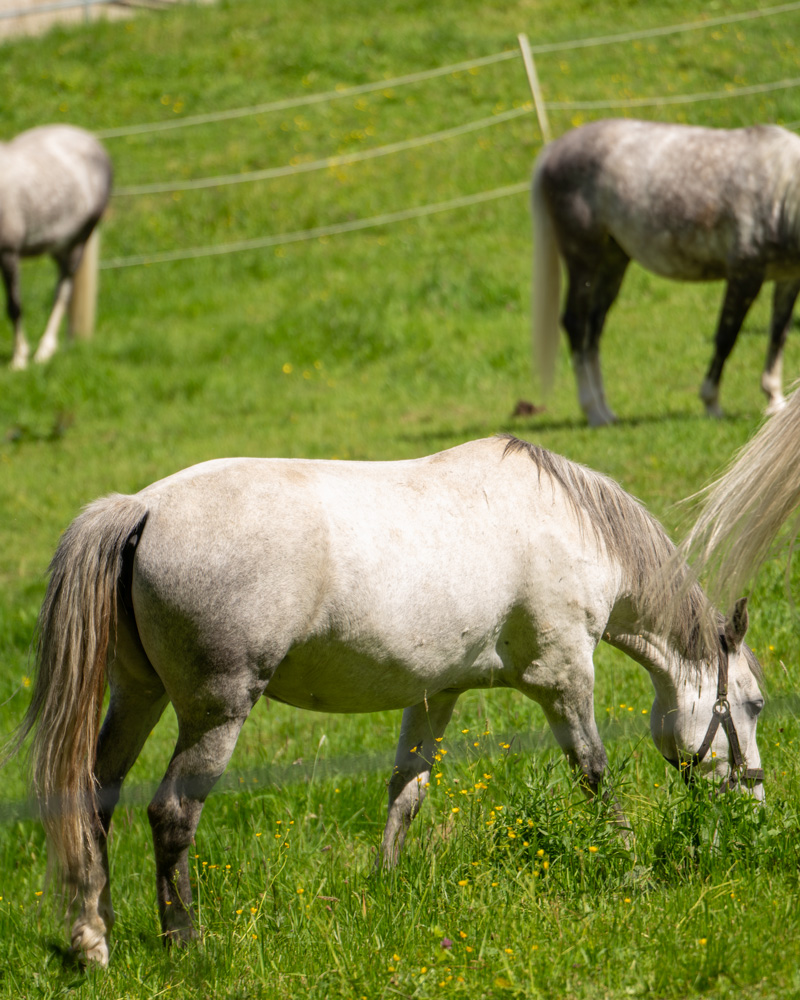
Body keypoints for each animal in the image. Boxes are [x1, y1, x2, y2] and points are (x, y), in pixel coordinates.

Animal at [0, 124, 113, 370]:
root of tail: (92, 142)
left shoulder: (8, 254)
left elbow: (14, 306)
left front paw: (19, 359)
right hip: (58, 247)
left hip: (78, 243)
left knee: (62, 292)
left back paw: (45, 351)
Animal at [8, 435, 764, 966]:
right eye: (753, 705)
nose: (756, 805)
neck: (569, 527)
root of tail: (143, 508)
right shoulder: (564, 677)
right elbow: (595, 773)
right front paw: (631, 865)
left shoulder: (437, 694)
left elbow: (407, 788)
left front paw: (388, 885)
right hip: (214, 712)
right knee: (170, 814)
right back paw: (185, 944)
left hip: (138, 698)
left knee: (94, 799)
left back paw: (93, 939)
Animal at [532, 119, 800, 426]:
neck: (782, 190)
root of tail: (554, 150)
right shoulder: (745, 275)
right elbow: (726, 337)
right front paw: (711, 402)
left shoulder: (788, 279)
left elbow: (778, 335)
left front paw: (775, 403)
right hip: (582, 258)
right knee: (575, 324)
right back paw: (593, 412)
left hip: (613, 260)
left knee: (593, 328)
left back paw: (606, 411)